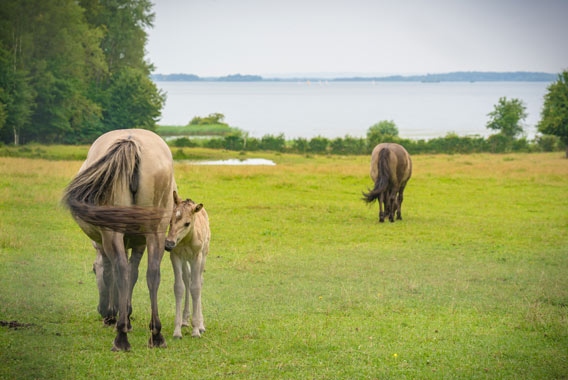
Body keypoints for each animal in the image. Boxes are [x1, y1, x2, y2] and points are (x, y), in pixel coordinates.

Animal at [62, 129, 175, 352]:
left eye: (92, 270)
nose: (101, 310)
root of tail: (131, 142)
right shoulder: (139, 243)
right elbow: (134, 274)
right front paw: (127, 315)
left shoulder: (104, 246)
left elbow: (110, 274)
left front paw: (113, 315)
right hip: (155, 233)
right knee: (152, 273)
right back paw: (156, 334)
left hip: (112, 233)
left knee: (120, 270)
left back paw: (121, 335)